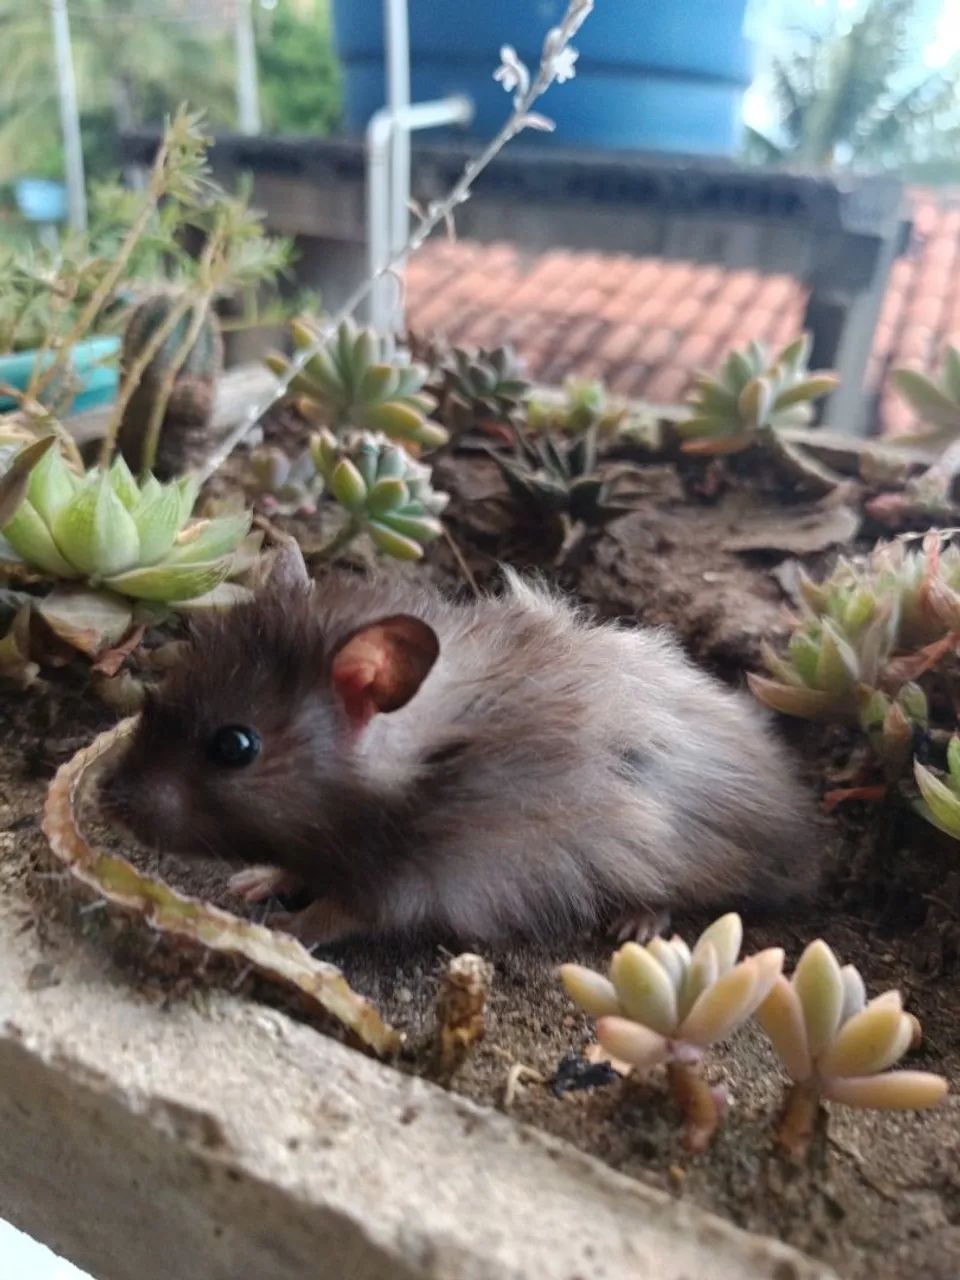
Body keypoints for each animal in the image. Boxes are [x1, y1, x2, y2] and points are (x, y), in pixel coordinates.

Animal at [99, 557, 820, 947]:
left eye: (234, 745)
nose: (108, 801)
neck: (418, 762)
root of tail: (803, 823)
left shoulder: (404, 887)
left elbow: (334, 913)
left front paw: (281, 932)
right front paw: (251, 883)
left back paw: (636, 926)